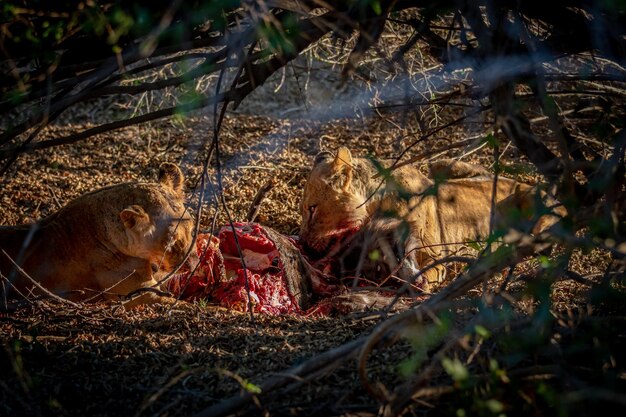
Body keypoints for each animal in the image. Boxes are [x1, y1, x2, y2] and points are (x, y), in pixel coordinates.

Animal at [298, 147, 536, 290]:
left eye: (312, 209)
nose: (303, 244)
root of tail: (520, 181)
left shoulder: (435, 256)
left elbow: (426, 272)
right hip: (441, 163)